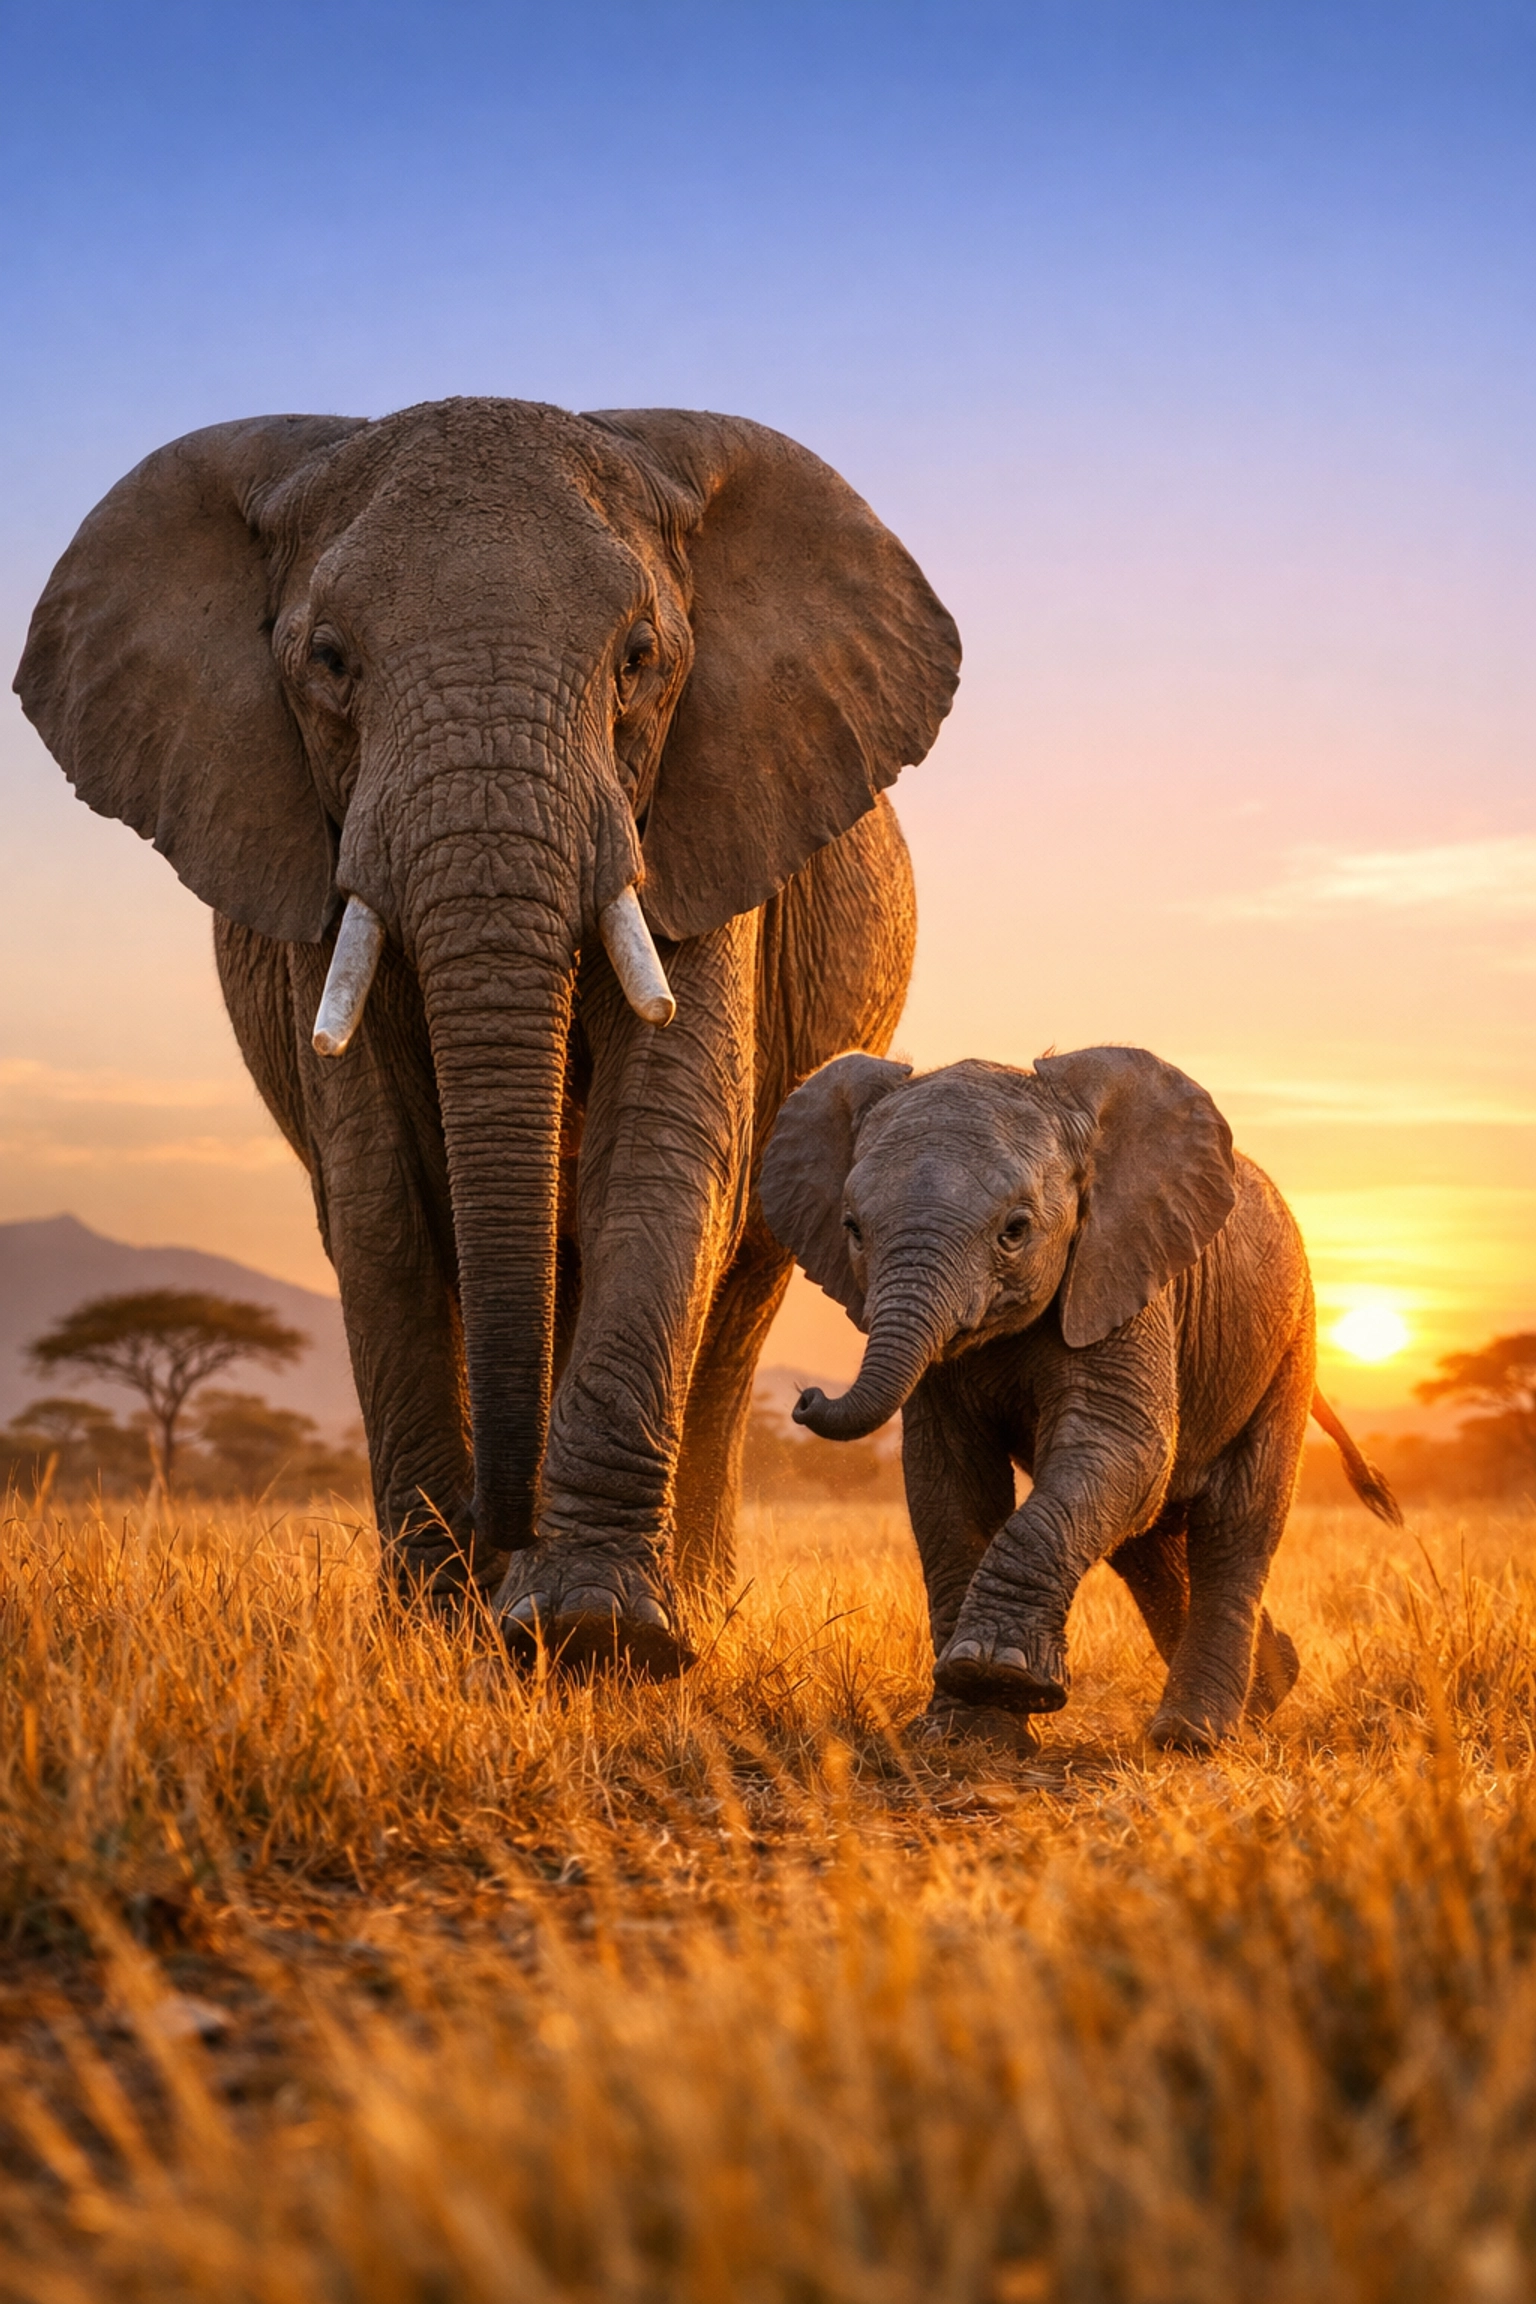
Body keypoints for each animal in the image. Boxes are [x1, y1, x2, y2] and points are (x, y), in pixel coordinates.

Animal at [16, 398, 960, 1673]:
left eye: (638, 657)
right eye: (328, 660)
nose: (504, 1525)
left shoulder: (707, 827)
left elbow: (663, 1158)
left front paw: (593, 1635)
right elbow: (380, 1193)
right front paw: (435, 1627)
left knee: (741, 1282)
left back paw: (687, 1608)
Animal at [759, 1046, 1401, 1749]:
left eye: (1015, 1230)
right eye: (852, 1229)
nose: (805, 1397)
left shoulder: (1124, 1275)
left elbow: (1124, 1447)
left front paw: (998, 1673)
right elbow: (949, 1480)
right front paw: (964, 1733)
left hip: (1287, 1348)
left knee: (1235, 1524)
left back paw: (1193, 1736)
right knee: (1146, 1544)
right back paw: (1268, 1691)